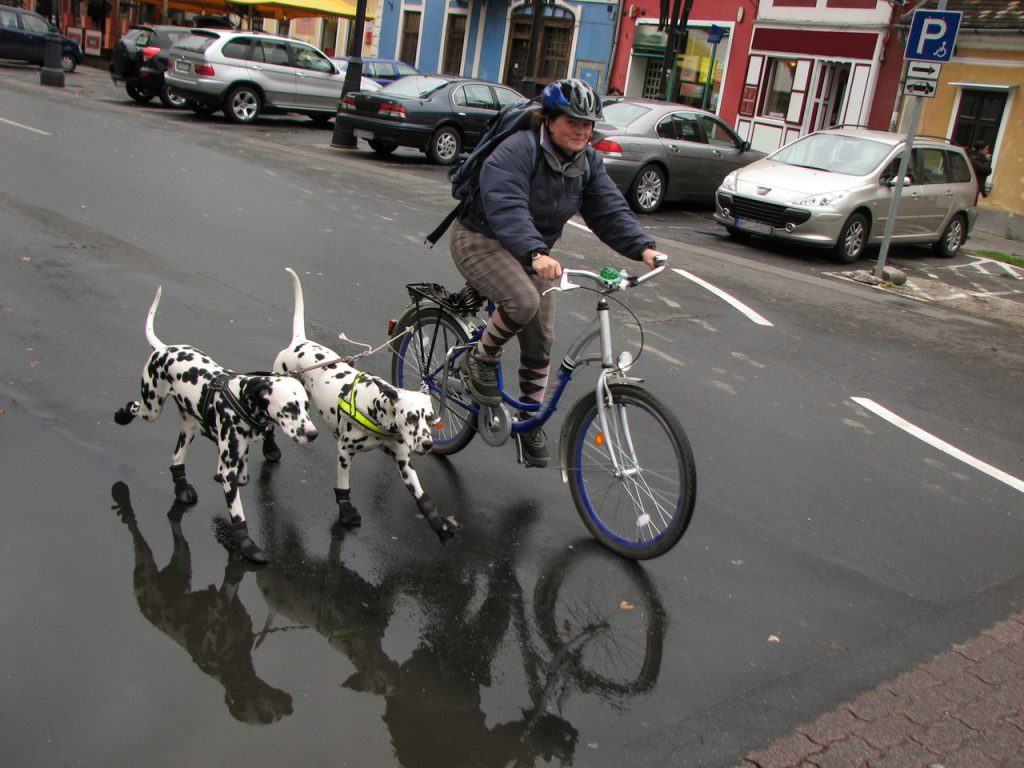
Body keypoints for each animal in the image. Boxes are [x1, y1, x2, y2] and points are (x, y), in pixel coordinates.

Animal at [114, 288, 317, 565]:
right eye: (290, 408)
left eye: (306, 406)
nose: (313, 434)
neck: (241, 398)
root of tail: (163, 349)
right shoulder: (229, 469)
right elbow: (238, 512)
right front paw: (246, 544)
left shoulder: (238, 457)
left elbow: (241, 475)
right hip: (151, 407)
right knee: (137, 407)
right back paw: (123, 415)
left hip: (188, 428)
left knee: (176, 458)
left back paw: (182, 487)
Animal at [272, 268, 456, 544]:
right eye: (412, 417)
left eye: (430, 417)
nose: (427, 444)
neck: (376, 408)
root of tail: (299, 342)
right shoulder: (344, 452)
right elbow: (343, 487)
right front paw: (346, 513)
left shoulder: (403, 461)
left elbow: (423, 498)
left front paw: (439, 525)